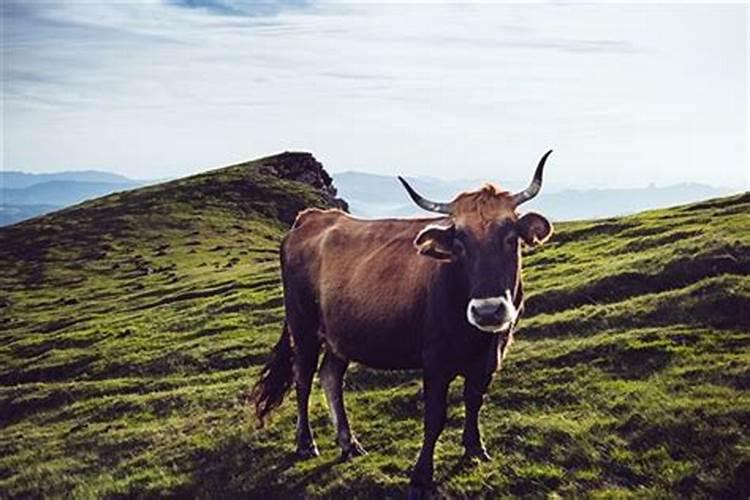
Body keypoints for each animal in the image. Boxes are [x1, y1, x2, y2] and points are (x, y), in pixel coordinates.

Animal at [250, 150, 556, 494]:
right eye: (459, 243)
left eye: (510, 237)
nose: (488, 311)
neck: (476, 338)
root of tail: (311, 217)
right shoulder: (435, 359)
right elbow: (435, 416)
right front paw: (422, 474)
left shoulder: (490, 356)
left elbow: (474, 401)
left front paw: (475, 450)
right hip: (303, 327)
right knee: (303, 381)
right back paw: (306, 444)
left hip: (340, 335)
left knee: (330, 376)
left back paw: (349, 443)